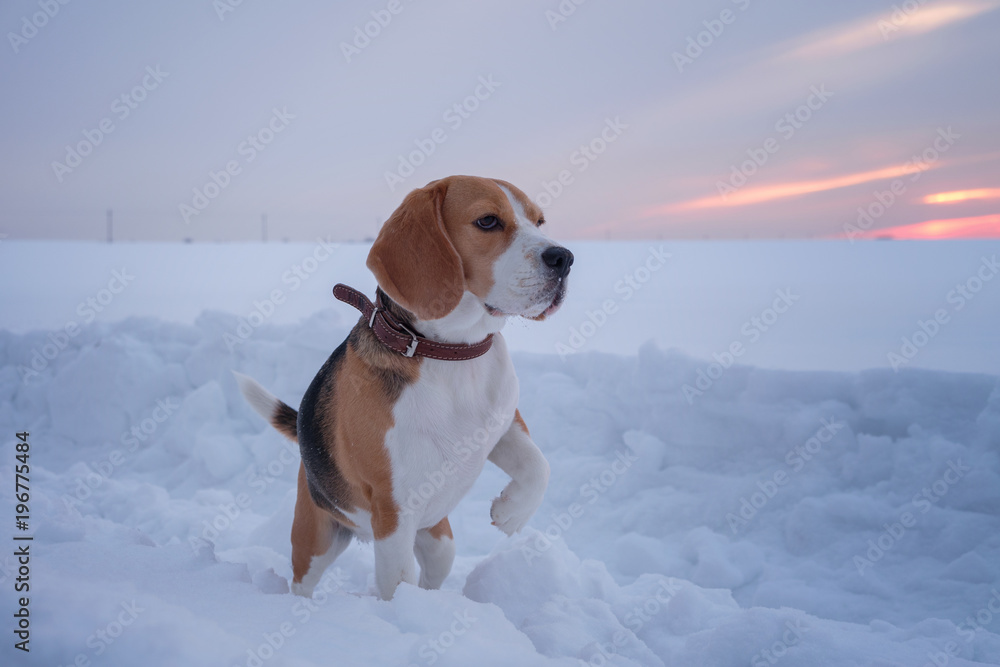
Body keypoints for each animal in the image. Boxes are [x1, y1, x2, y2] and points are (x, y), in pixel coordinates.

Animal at [234, 175, 576, 604]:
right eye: (487, 221)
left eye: (539, 221)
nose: (564, 258)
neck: (451, 355)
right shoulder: (393, 508)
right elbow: (398, 583)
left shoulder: (502, 424)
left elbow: (538, 465)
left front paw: (511, 512)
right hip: (318, 537)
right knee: (303, 581)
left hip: (439, 539)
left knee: (436, 564)